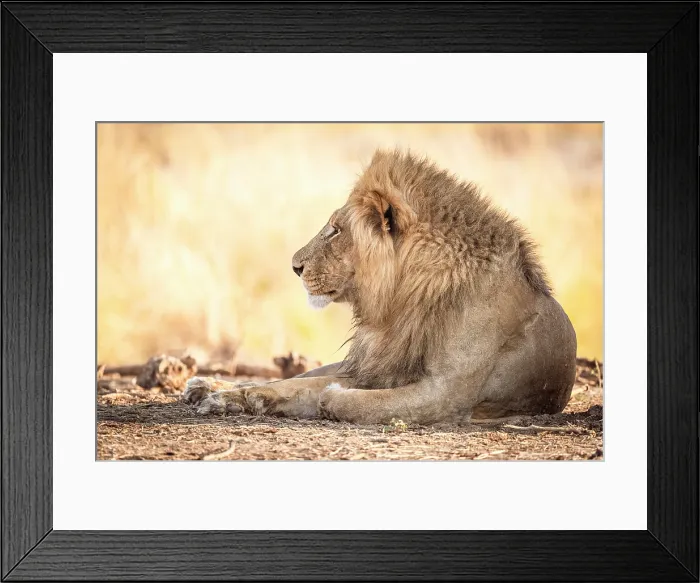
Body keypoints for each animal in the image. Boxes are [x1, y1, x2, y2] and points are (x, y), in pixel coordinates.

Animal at [183, 149, 577, 425]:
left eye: (336, 230)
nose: (295, 267)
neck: (405, 300)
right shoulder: (379, 368)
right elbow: (296, 385)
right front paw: (231, 397)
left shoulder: (446, 394)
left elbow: (347, 400)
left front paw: (330, 398)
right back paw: (207, 387)